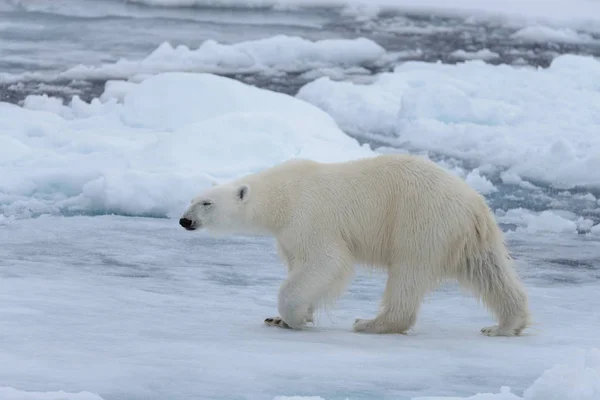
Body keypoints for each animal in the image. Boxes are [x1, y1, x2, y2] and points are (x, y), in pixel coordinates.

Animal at [179, 155, 528, 336]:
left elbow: (325, 261)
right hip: (469, 235)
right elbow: (301, 266)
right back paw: (505, 325)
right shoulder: (288, 233)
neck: (281, 197)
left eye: (206, 203)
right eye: (192, 199)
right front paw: (283, 317)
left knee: (407, 273)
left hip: (420, 221)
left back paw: (372, 323)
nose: (184, 220)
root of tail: (474, 204)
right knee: (489, 271)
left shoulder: (309, 216)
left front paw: (293, 317)